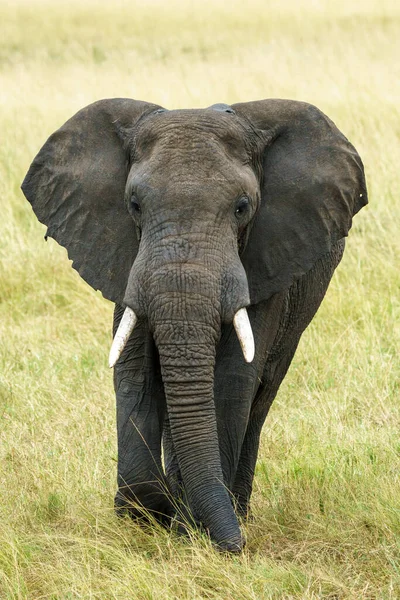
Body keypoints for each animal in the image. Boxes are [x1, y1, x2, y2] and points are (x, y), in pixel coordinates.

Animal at [21, 97, 366, 552]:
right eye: (134, 205)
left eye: (242, 207)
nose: (238, 547)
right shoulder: (125, 258)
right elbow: (136, 372)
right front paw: (147, 514)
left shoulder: (264, 262)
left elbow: (232, 379)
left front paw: (188, 530)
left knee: (262, 395)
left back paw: (235, 511)